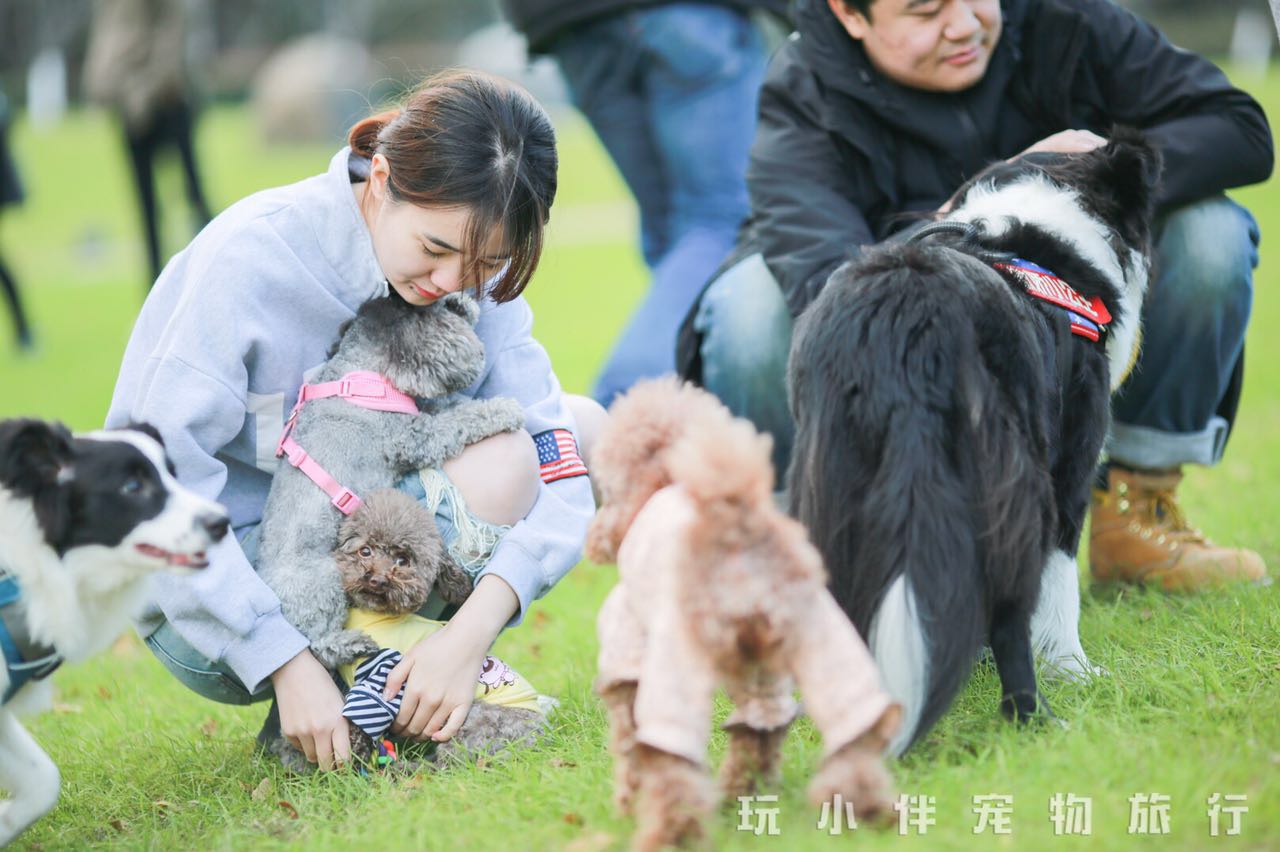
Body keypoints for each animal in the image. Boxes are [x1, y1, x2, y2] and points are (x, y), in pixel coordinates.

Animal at [588, 378, 901, 849]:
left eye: (606, 490)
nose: (596, 537)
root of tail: (738, 532)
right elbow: (757, 737)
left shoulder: (626, 639)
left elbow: (627, 734)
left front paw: (626, 802)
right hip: (816, 641)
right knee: (841, 732)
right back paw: (856, 811)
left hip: (680, 657)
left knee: (673, 763)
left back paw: (670, 834)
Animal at [788, 131, 1162, 752]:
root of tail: (905, 318)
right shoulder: (1069, 467)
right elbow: (1060, 588)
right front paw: (1076, 672)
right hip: (1010, 480)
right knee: (1011, 615)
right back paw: (1034, 717)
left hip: (829, 479)